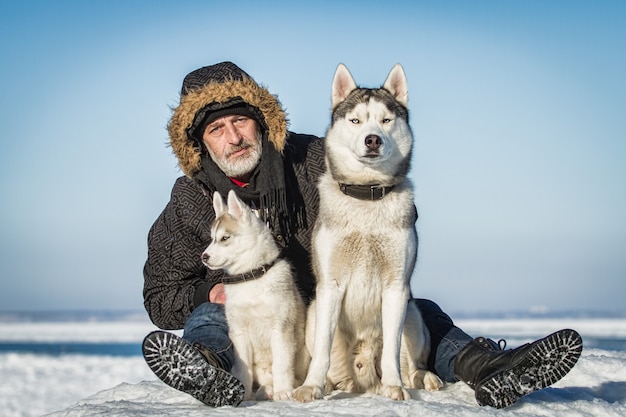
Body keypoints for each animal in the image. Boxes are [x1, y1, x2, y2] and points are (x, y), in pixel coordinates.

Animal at [201, 191, 308, 400]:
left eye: (224, 238)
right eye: (211, 238)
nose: (204, 257)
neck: (251, 277)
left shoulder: (280, 329)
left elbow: (281, 365)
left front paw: (283, 392)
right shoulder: (239, 332)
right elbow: (243, 368)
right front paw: (241, 395)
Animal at [292, 64, 438, 400]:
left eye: (386, 120)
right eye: (355, 120)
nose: (373, 140)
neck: (366, 197)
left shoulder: (396, 287)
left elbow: (393, 351)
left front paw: (395, 387)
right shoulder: (330, 286)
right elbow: (321, 351)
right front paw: (311, 387)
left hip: (413, 315)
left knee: (413, 364)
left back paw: (423, 379)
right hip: (315, 312)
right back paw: (328, 383)